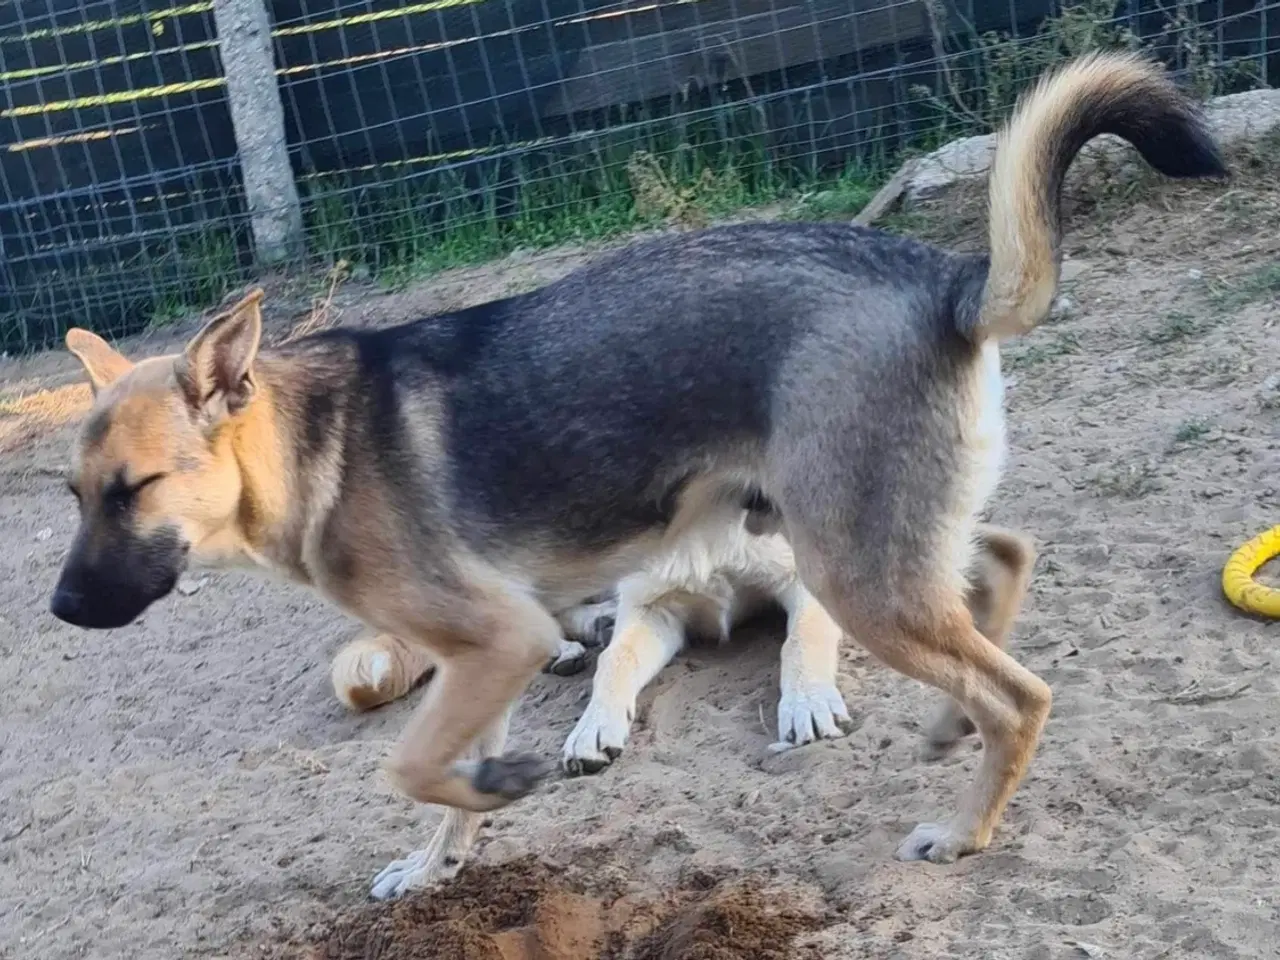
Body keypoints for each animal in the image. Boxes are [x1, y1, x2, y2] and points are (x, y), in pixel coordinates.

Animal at [330, 519, 1029, 901]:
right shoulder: (652, 608)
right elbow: (615, 665)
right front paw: (593, 729)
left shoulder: (802, 582)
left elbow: (800, 642)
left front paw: (805, 702)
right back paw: (568, 641)